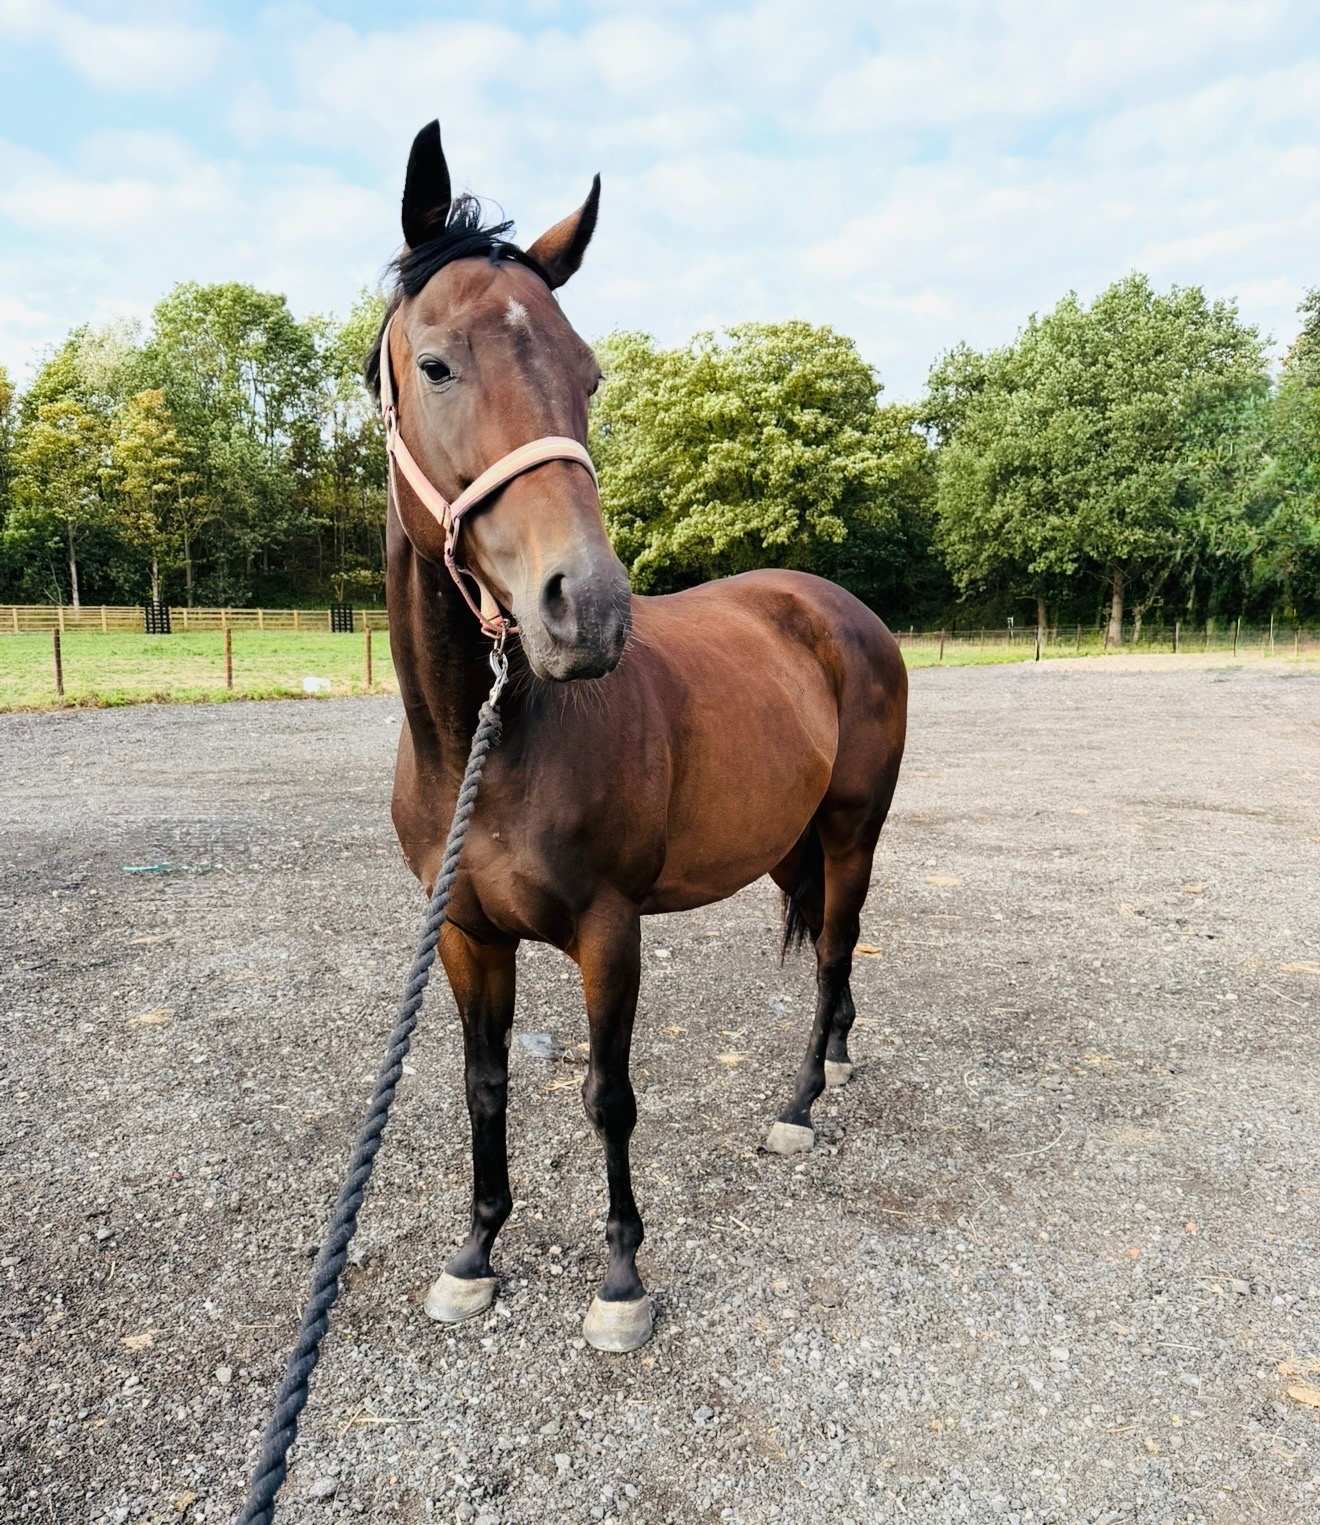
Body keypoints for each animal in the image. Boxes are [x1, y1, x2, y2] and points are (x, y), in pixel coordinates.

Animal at [368, 121, 908, 1353]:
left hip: (852, 833)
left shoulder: (609, 931)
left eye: (590, 374)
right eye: (437, 363)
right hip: (789, 844)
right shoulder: (465, 934)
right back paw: (840, 1062)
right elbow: (483, 1084)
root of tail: (839, 608)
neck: (487, 744)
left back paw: (802, 1103)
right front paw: (476, 1252)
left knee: (837, 953)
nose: (589, 610)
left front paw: (620, 1276)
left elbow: (607, 1095)